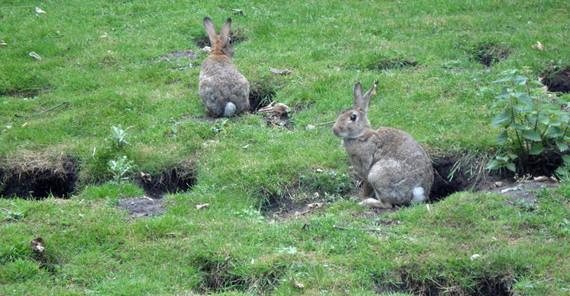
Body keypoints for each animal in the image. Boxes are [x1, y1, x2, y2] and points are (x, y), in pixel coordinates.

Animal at [330, 80, 432, 208]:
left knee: (387, 205)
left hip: (378, 174)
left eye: (353, 117)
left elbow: (366, 185)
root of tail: (417, 192)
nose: (334, 130)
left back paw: (366, 202)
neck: (360, 136)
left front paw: (363, 197)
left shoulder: (366, 168)